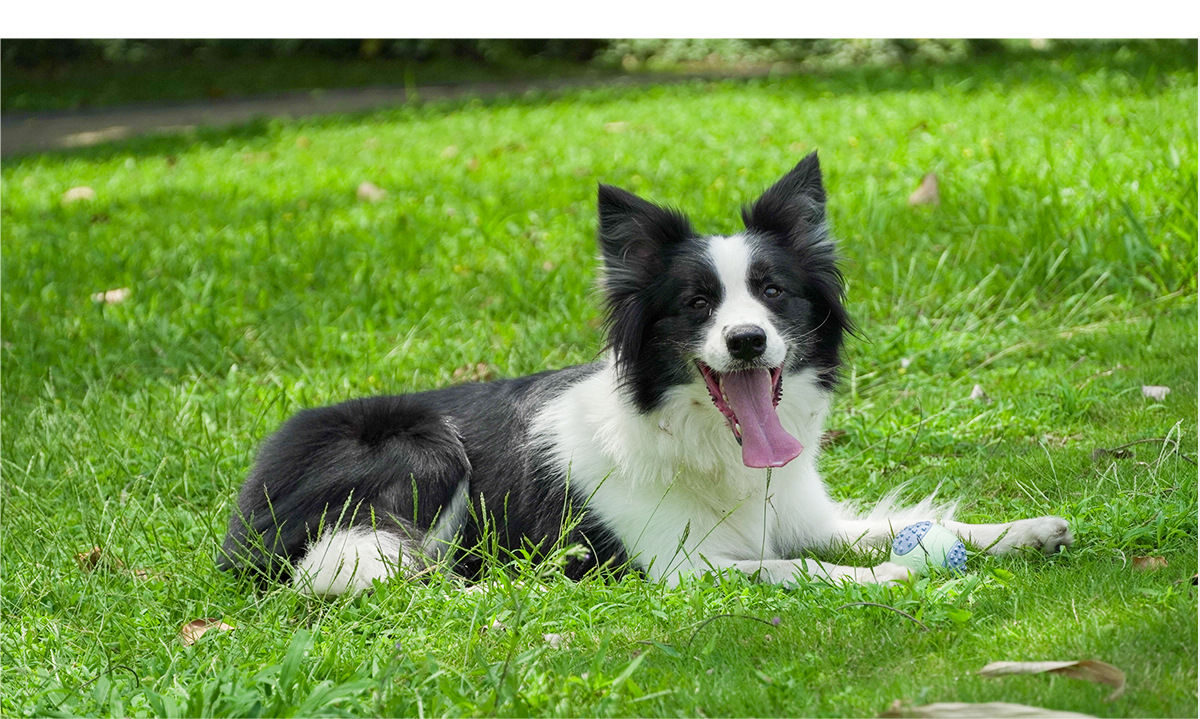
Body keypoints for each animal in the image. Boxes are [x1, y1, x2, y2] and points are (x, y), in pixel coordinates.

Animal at [218, 152, 1073, 596]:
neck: (705, 443)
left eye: (773, 292)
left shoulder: (803, 513)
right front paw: (886, 577)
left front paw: (1023, 530)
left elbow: (890, 524)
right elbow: (794, 566)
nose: (747, 341)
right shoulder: (675, 564)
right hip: (418, 444)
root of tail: (246, 506)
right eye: (696, 302)